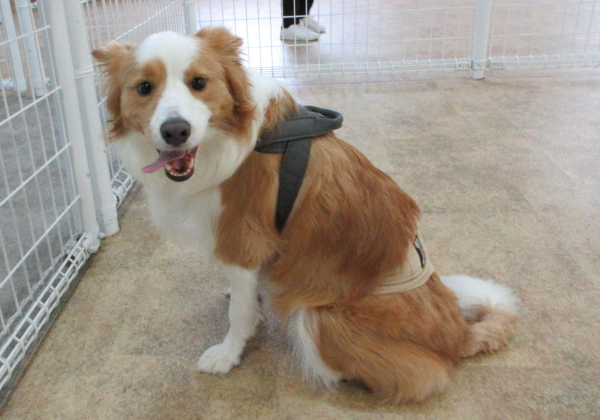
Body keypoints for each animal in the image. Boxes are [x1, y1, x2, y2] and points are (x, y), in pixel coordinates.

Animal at [92, 27, 518, 404]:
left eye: (199, 82)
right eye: (144, 88)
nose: (175, 131)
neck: (231, 142)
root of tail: (458, 335)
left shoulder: (244, 240)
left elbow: (239, 313)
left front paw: (228, 354)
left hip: (322, 318)